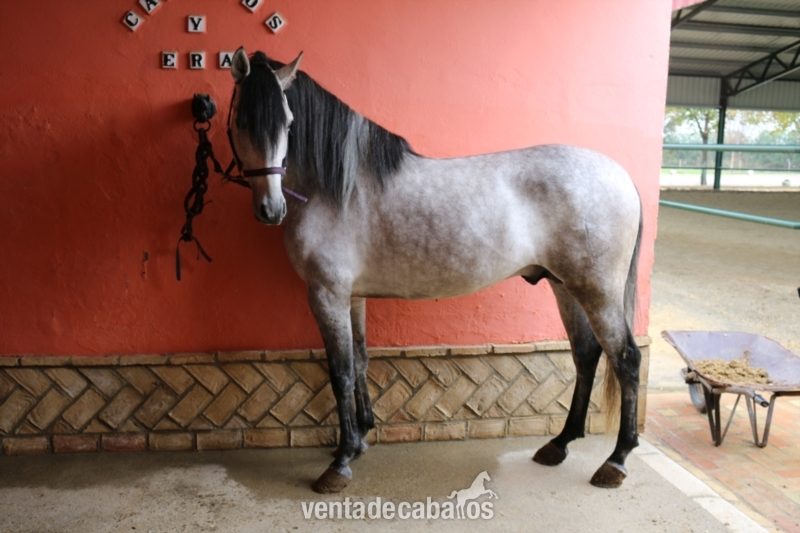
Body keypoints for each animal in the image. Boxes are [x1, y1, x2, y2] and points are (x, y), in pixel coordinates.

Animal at [227, 47, 643, 494]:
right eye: (242, 121)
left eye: (287, 123)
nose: (271, 209)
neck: (339, 189)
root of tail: (622, 176)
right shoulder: (352, 297)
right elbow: (360, 362)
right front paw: (362, 439)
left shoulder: (326, 294)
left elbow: (340, 372)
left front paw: (340, 462)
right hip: (567, 286)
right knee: (586, 354)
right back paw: (559, 443)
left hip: (597, 291)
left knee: (625, 358)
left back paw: (616, 460)